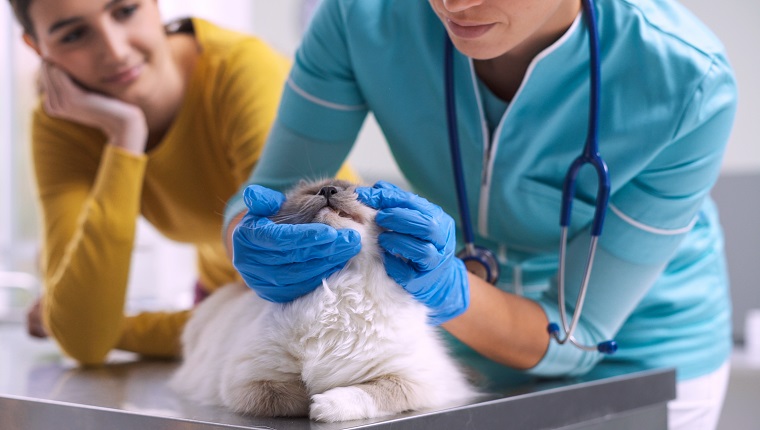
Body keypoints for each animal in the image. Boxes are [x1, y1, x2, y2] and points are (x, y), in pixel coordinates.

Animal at [175, 180, 478, 422]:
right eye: (314, 192)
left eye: (358, 193)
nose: (328, 191)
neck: (338, 286)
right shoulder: (250, 380)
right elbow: (293, 396)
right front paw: (313, 398)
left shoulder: (414, 380)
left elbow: (365, 392)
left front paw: (325, 404)